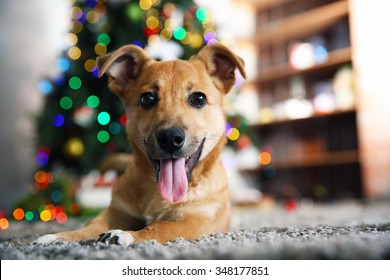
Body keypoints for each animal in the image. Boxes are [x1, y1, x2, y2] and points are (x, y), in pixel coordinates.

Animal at [35, 42, 245, 246]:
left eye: (199, 98)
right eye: (147, 98)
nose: (170, 138)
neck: (156, 192)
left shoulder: (201, 221)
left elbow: (161, 226)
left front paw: (127, 235)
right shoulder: (117, 212)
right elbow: (90, 225)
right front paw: (58, 237)